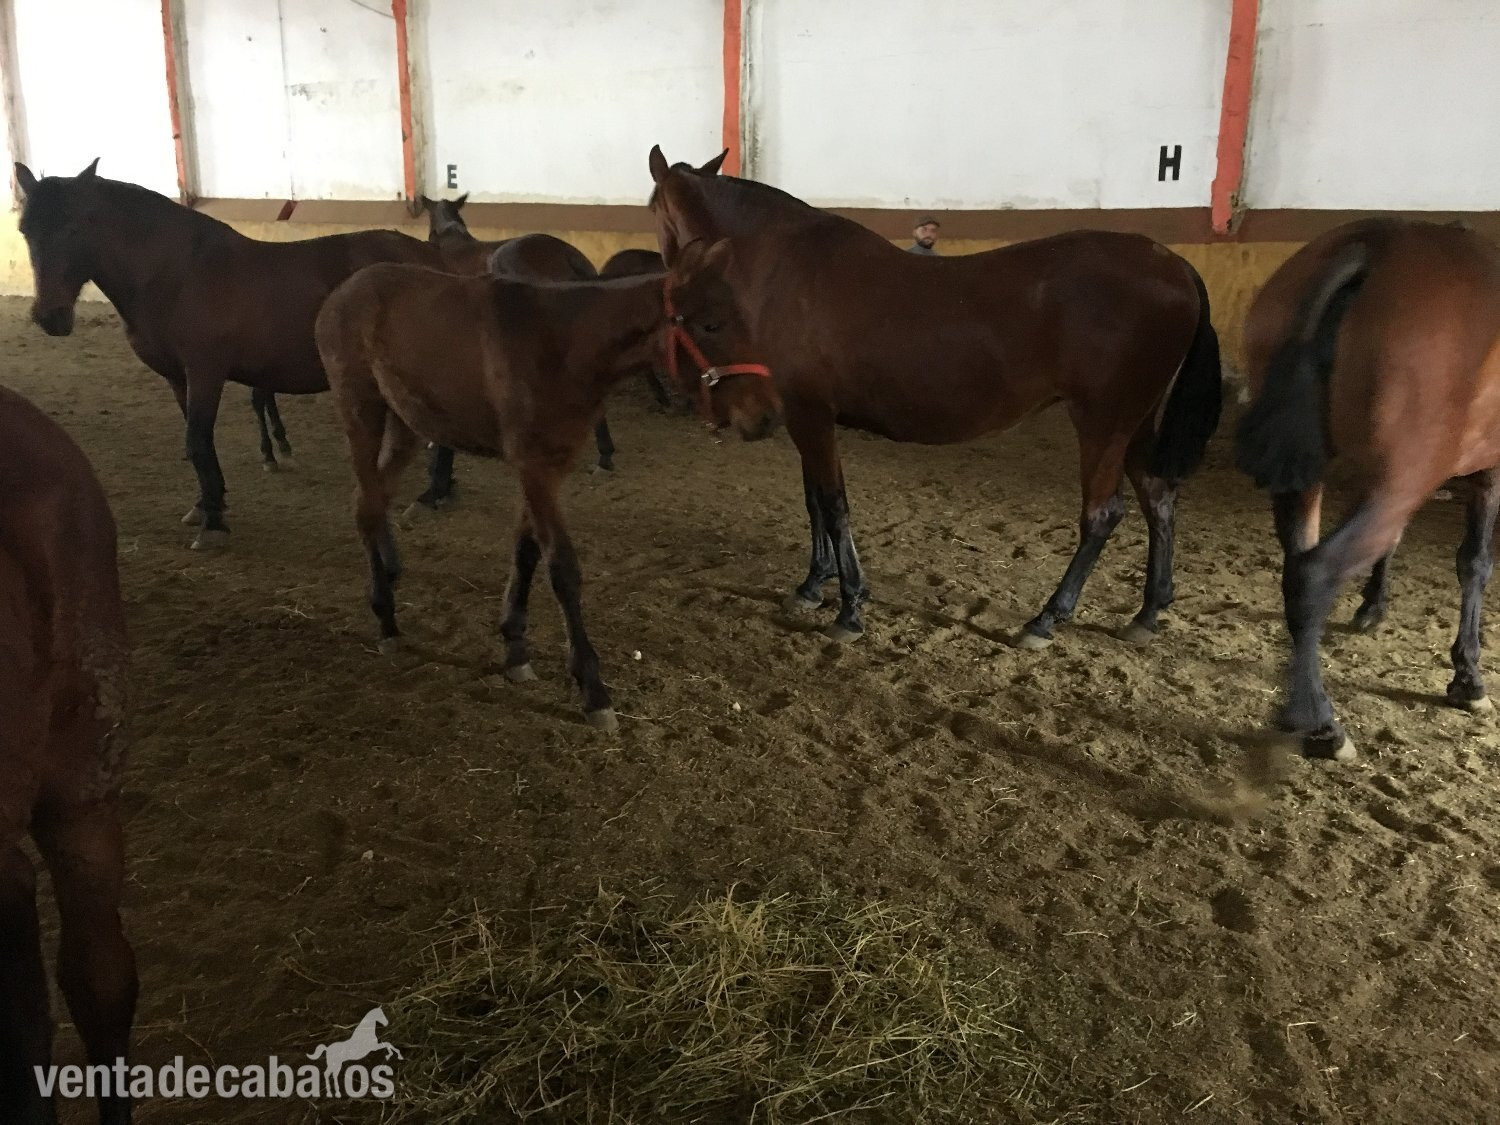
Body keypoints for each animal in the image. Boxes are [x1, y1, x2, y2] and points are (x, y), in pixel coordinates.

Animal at [14, 158, 445, 549]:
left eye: (72, 227)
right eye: (25, 230)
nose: (49, 316)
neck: (175, 275)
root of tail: (428, 259)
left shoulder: (205, 372)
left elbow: (198, 440)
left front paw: (214, 523)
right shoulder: (179, 378)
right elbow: (197, 442)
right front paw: (206, 505)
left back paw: (430, 498)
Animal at [314, 238, 780, 731]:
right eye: (710, 325)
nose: (767, 417)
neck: (563, 348)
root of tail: (342, 293)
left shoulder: (547, 470)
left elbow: (526, 553)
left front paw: (516, 649)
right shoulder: (534, 467)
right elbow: (562, 569)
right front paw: (593, 690)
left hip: (405, 425)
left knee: (375, 498)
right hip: (361, 412)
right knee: (366, 505)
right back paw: (385, 619)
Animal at [646, 146, 1222, 646]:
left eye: (652, 210)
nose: (670, 272)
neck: (777, 272)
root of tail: (1173, 264)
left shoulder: (809, 413)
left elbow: (833, 505)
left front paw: (849, 607)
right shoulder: (803, 415)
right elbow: (815, 503)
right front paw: (813, 585)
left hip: (1104, 423)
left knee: (1102, 516)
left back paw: (1046, 619)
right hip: (1137, 423)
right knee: (1158, 497)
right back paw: (1148, 612)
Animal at [1235, 218, 1500, 761]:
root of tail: (1370, 247)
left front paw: (1372, 607)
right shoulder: (1486, 471)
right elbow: (1475, 563)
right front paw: (1468, 678)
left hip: (1318, 478)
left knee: (1299, 570)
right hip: (1405, 479)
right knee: (1315, 572)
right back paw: (1323, 726)